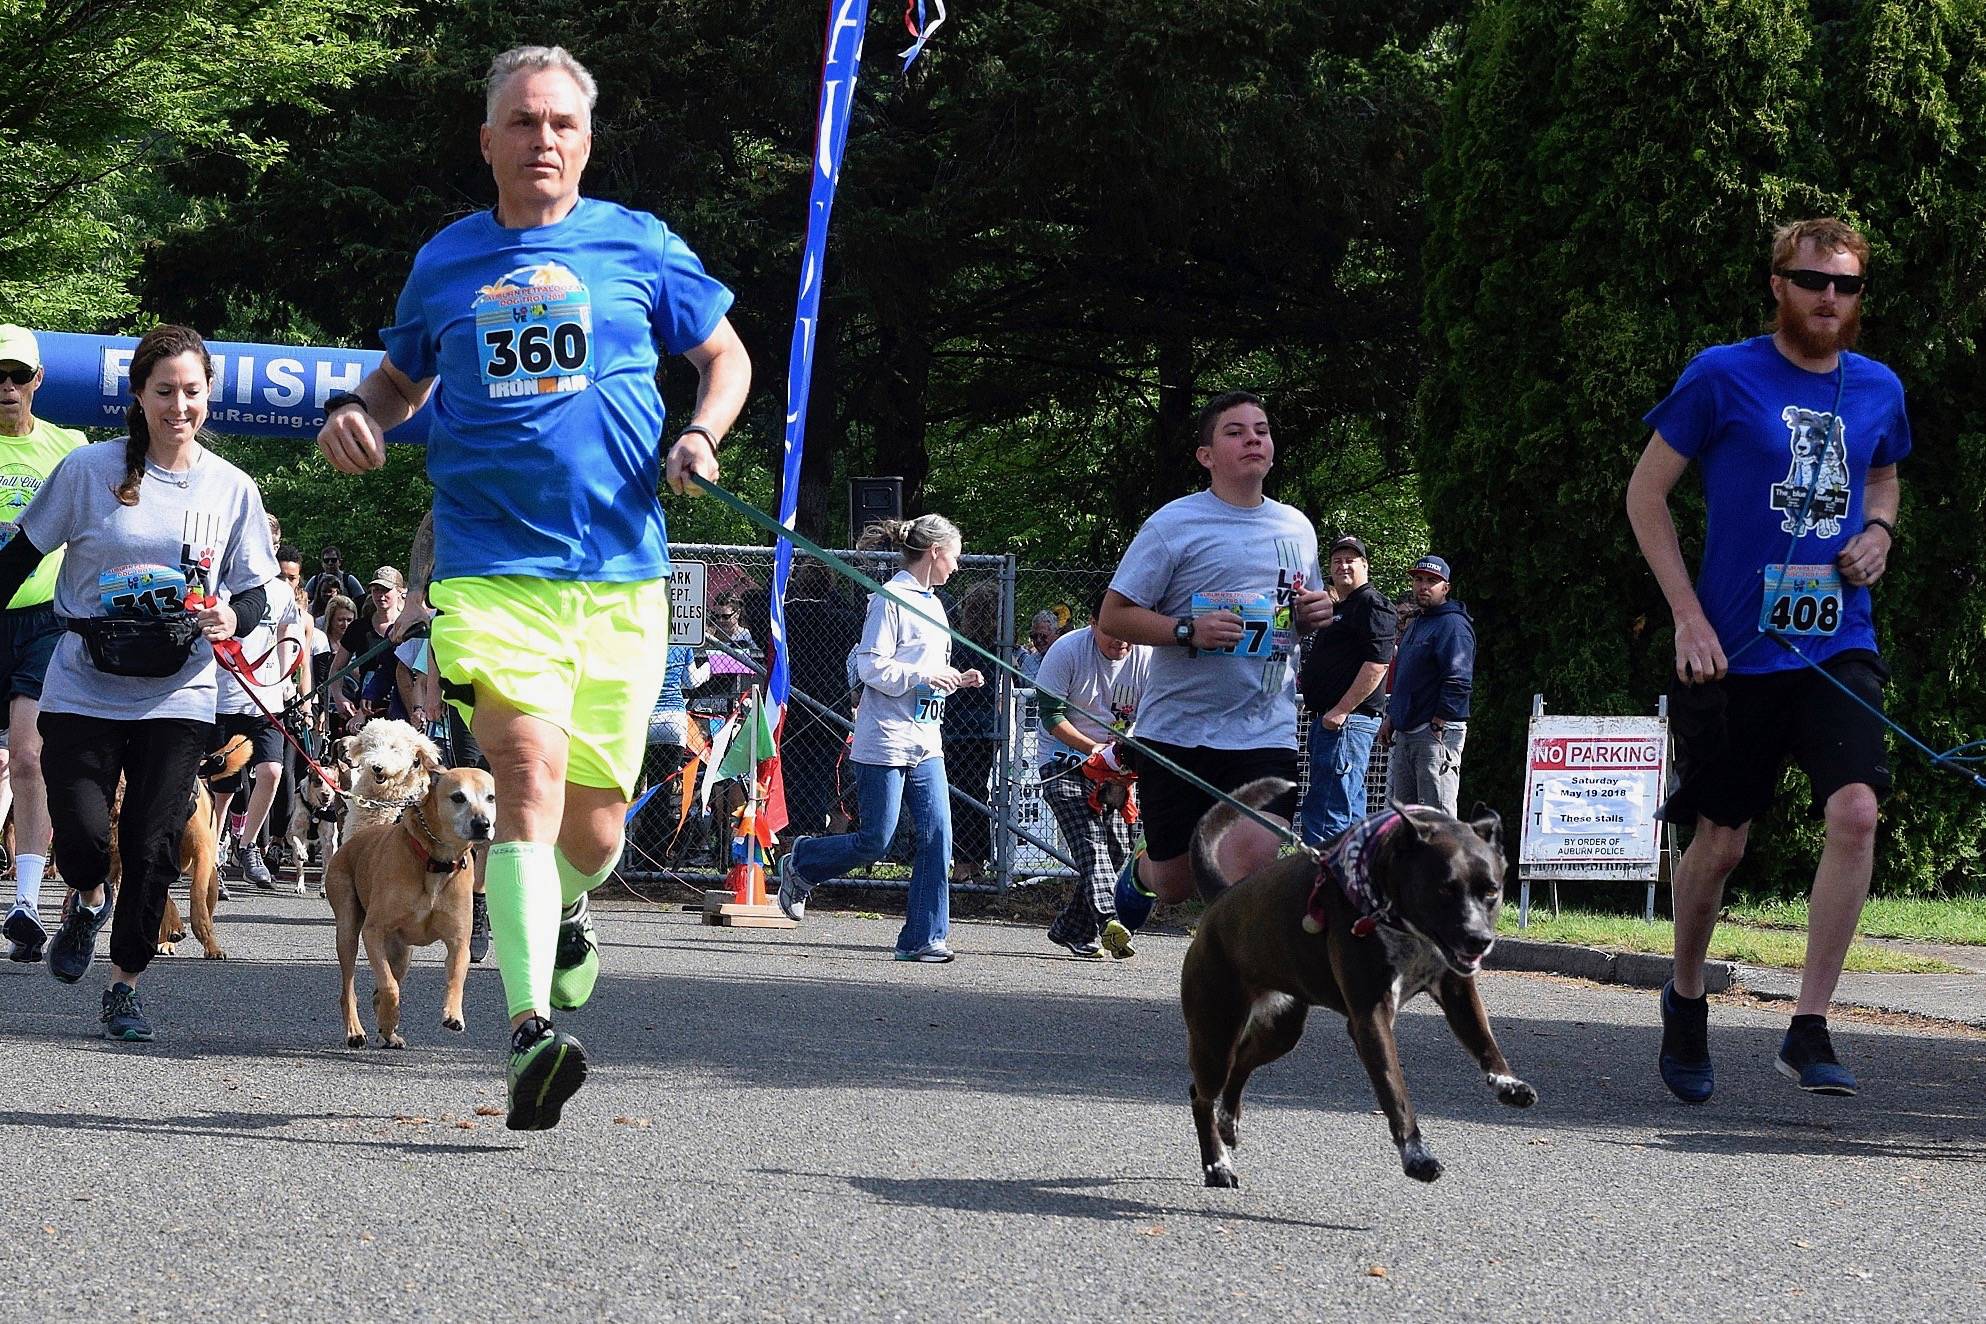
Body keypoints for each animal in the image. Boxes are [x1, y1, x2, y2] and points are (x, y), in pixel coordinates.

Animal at [1175, 778, 1533, 1191]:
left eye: (1491, 890)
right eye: (1445, 889)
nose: (1479, 940)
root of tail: (1221, 899)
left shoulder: (1457, 991)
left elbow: (1483, 1039)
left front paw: (1508, 1082)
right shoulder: (1370, 1018)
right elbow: (1395, 1091)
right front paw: (1417, 1155)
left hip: (1282, 1028)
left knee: (1243, 1064)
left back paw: (1227, 1122)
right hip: (1216, 1030)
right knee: (1201, 1093)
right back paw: (1216, 1163)